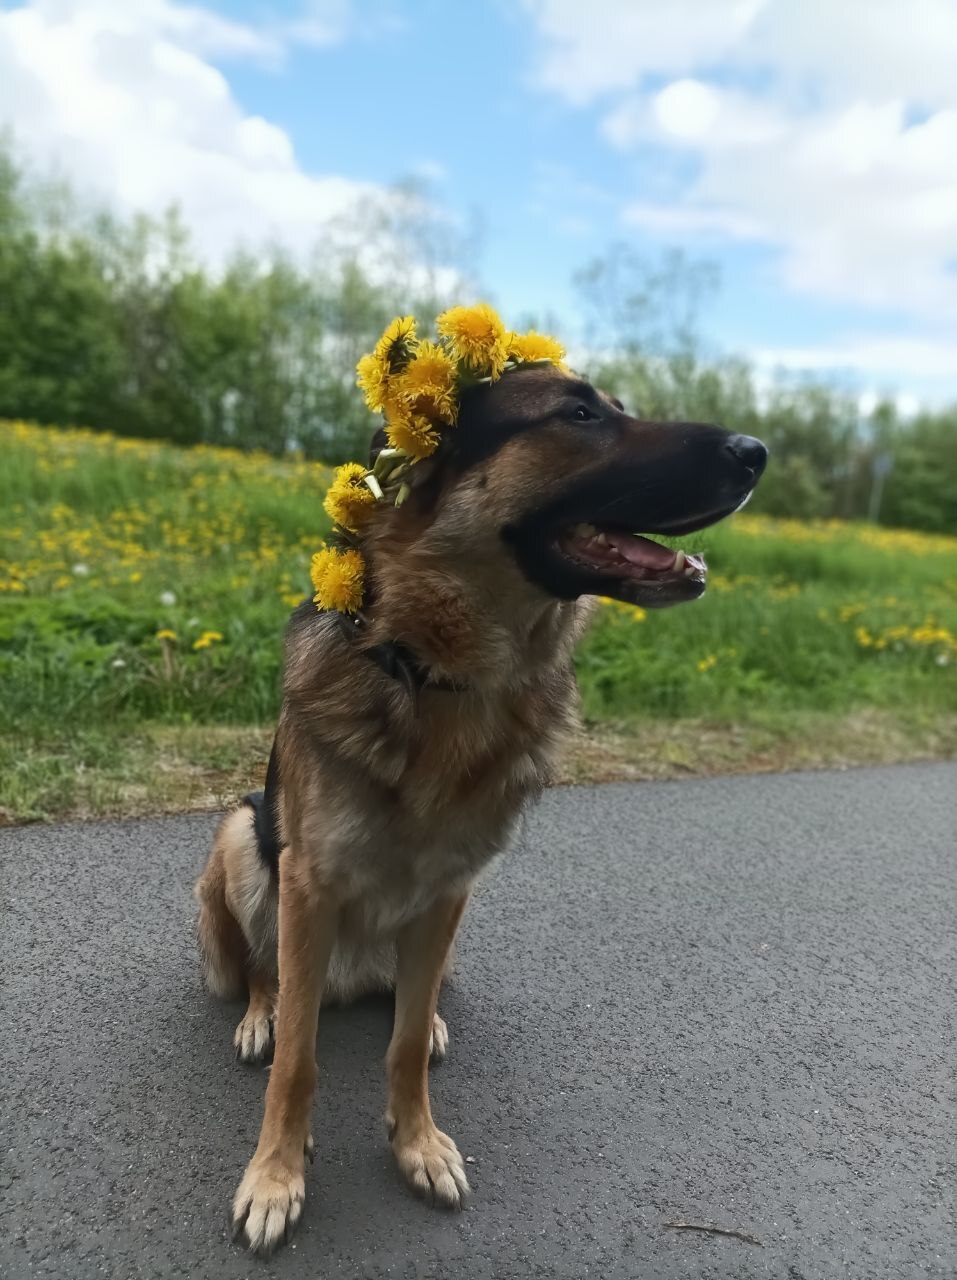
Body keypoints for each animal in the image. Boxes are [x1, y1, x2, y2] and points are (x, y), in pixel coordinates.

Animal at [195, 363, 767, 1259]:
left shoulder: (447, 891)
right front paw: (276, 1176)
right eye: (578, 413)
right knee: (265, 972)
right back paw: (261, 1014)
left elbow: (399, 1051)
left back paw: (418, 1015)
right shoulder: (307, 884)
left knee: (407, 997)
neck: (441, 676)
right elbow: (299, 1061)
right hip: (242, 840)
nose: (756, 452)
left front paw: (417, 1142)